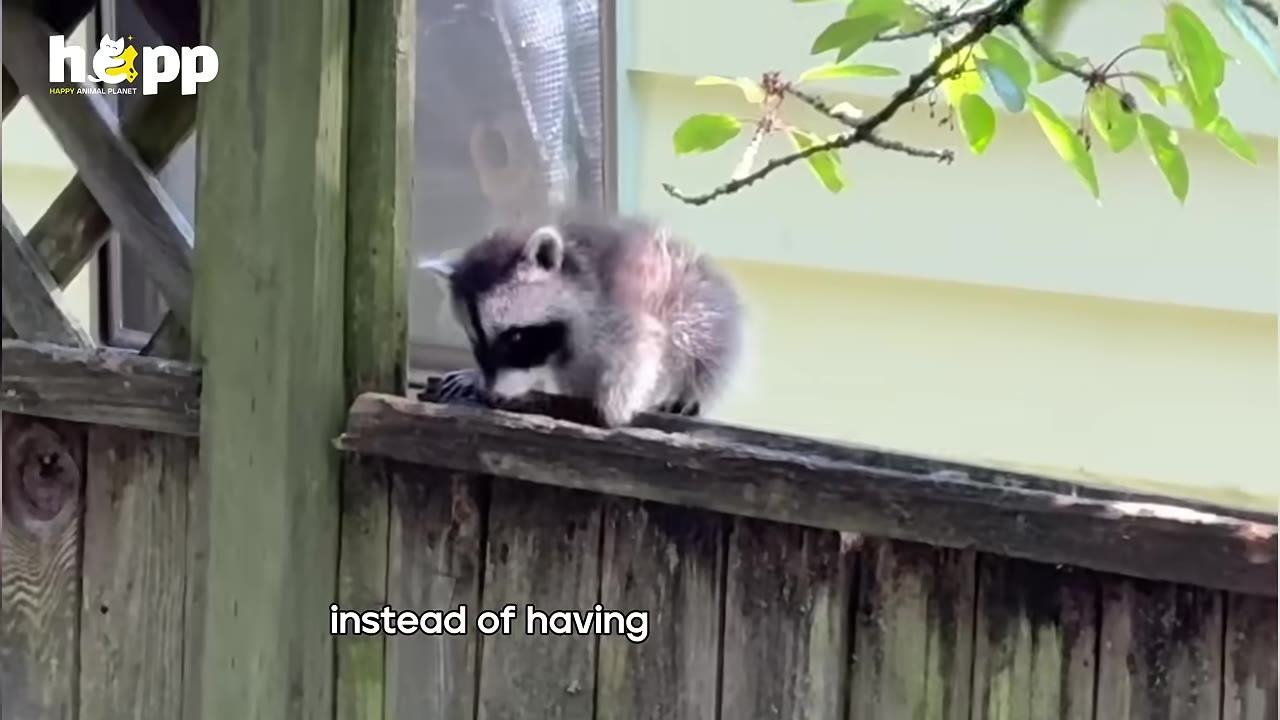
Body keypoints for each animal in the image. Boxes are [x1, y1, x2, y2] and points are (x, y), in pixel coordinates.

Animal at [419, 212, 744, 428]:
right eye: (476, 342)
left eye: (516, 337)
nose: (492, 397)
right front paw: (477, 376)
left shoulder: (623, 311)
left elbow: (638, 355)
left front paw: (612, 412)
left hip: (696, 304)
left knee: (703, 347)